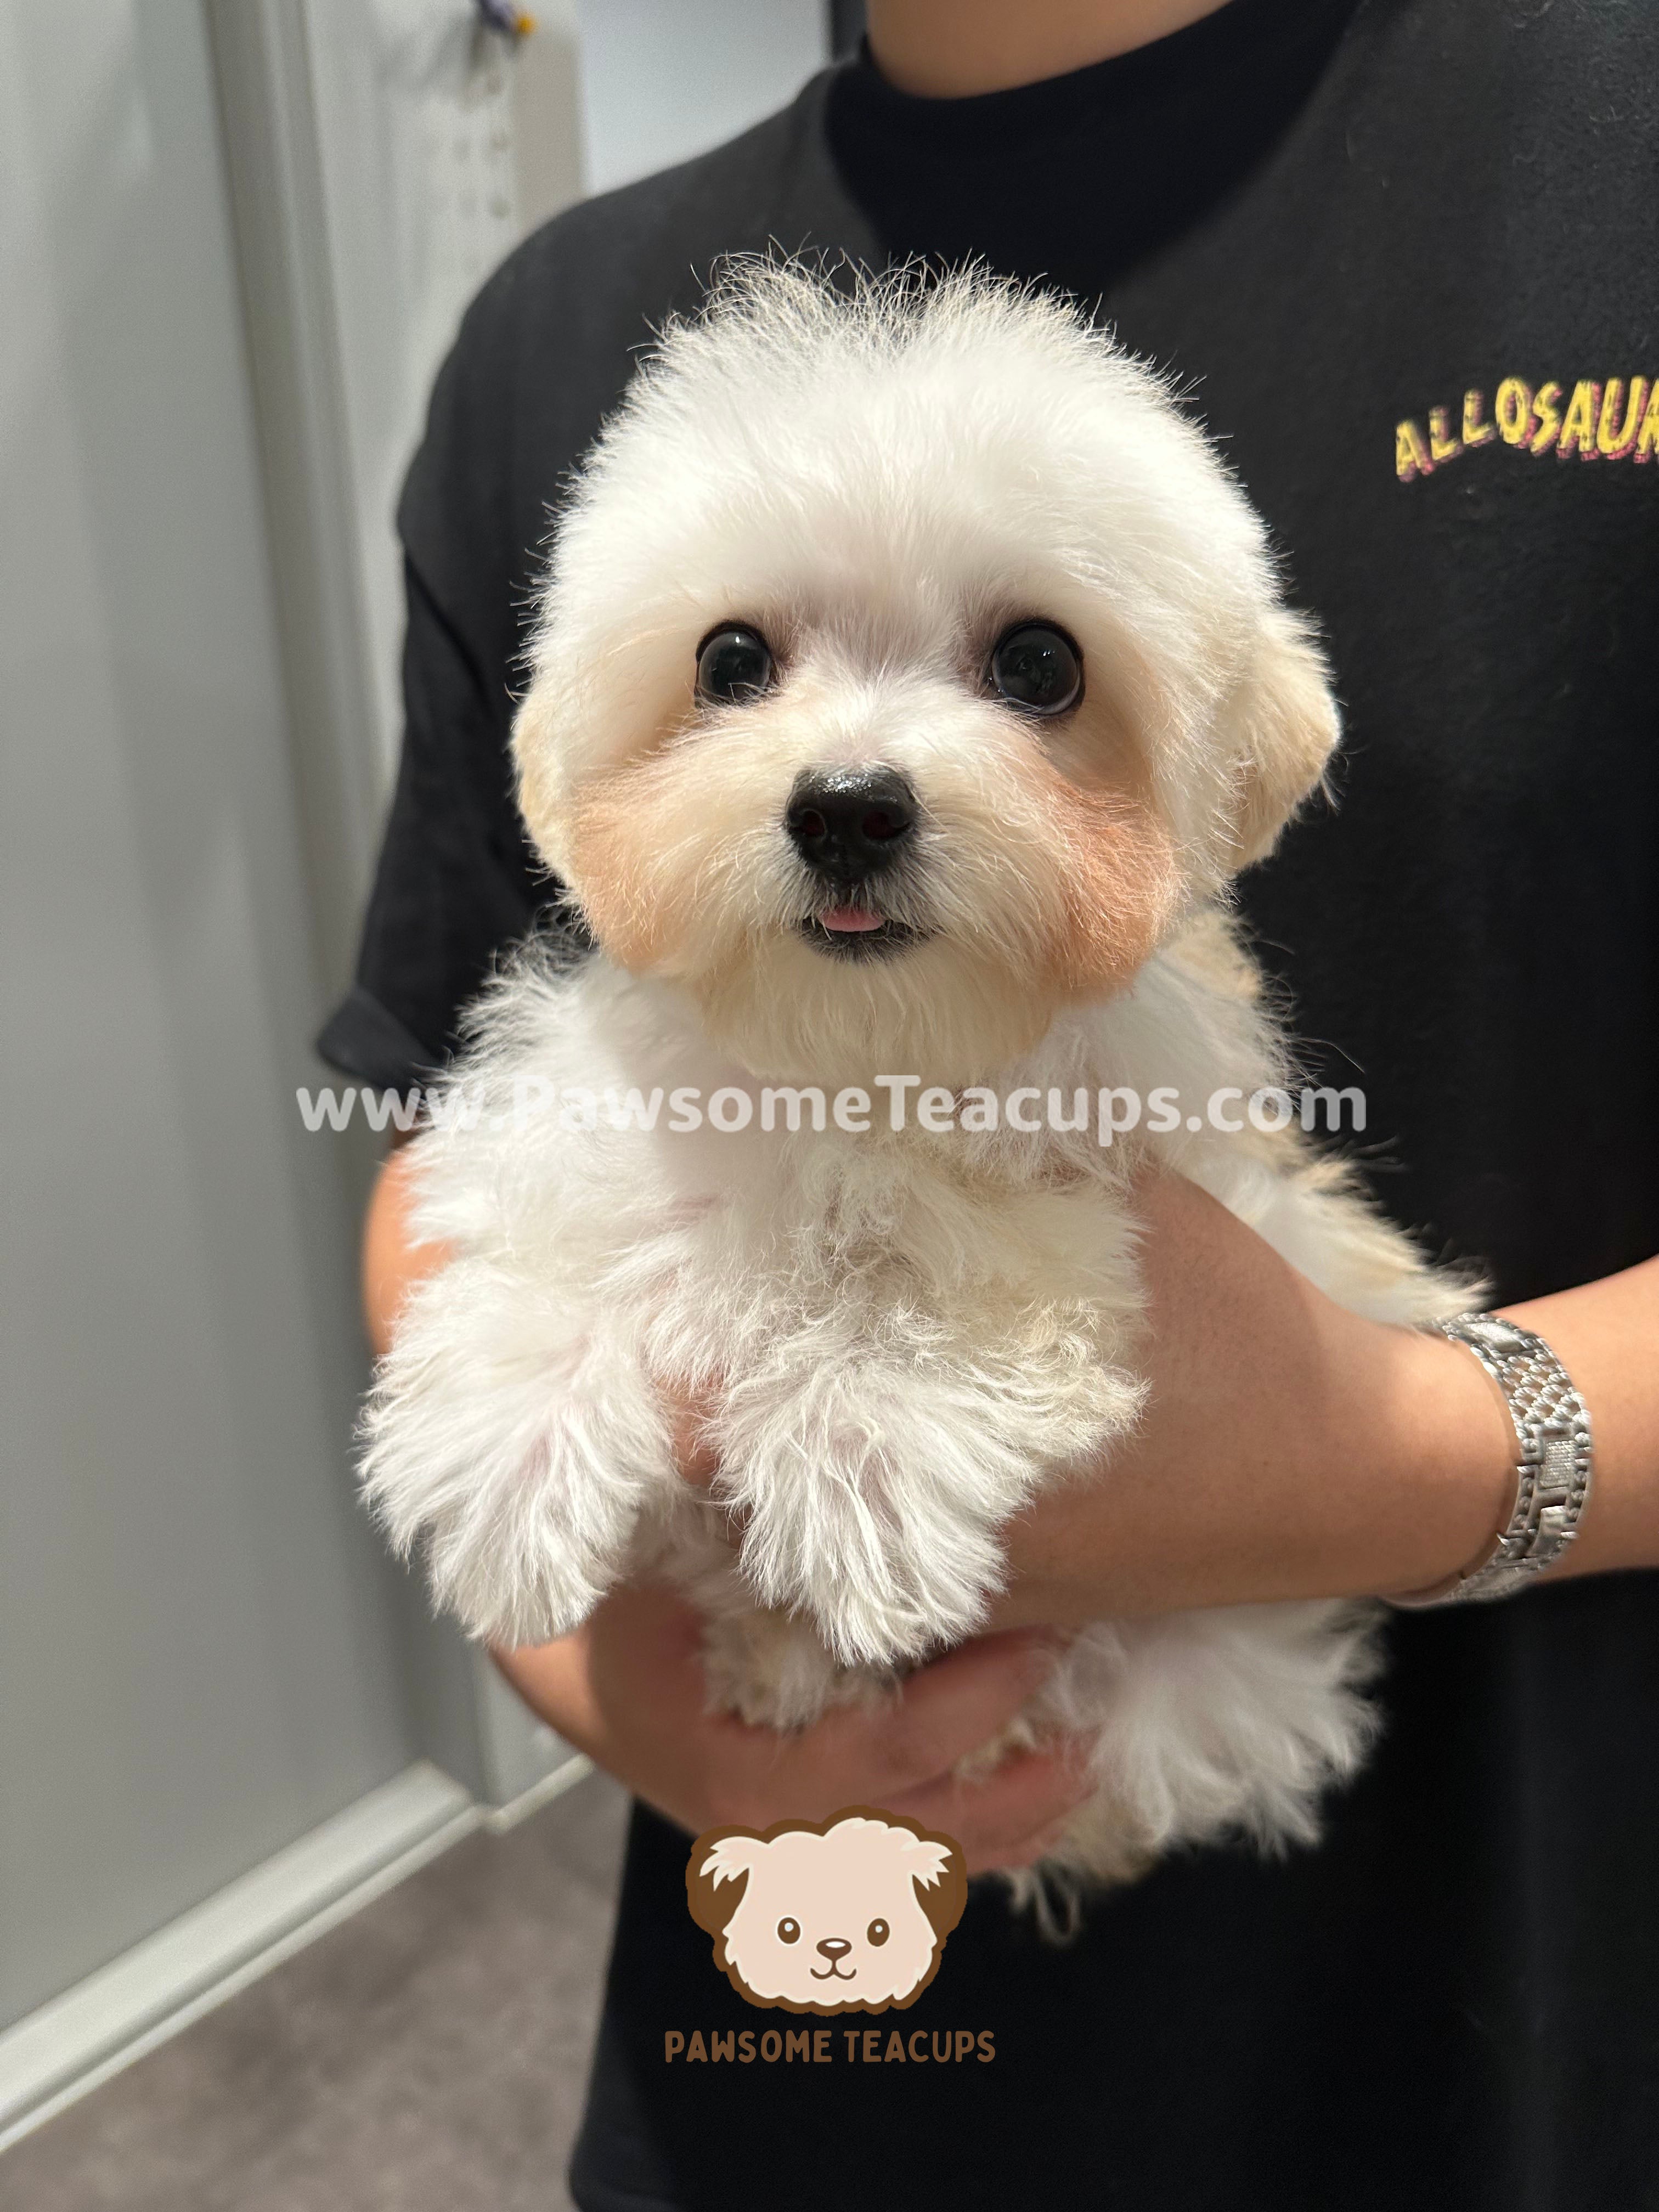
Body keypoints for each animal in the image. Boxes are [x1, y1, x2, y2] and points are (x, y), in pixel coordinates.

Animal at [367, 258, 1469, 1884]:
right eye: (731, 661)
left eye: (1041, 663)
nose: (847, 808)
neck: (859, 1056)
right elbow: (590, 1231)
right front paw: (516, 1438)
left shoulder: (1168, 1170)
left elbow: (970, 1231)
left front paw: (863, 1429)